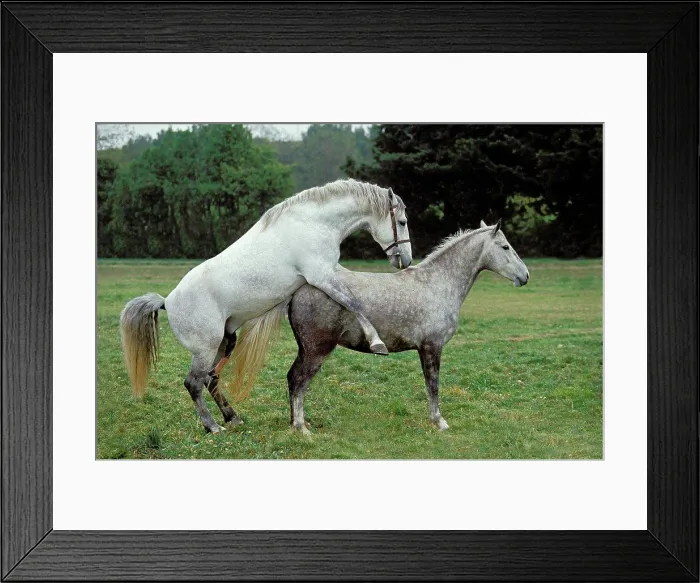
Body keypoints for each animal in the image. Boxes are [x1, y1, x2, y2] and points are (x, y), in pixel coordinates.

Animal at [119, 179, 412, 434]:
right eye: (402, 222)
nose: (406, 261)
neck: (312, 223)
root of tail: (167, 301)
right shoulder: (322, 276)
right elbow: (354, 302)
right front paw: (377, 343)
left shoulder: (329, 274)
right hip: (205, 348)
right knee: (193, 383)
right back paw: (213, 426)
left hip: (225, 341)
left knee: (211, 380)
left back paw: (232, 417)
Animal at [285, 220, 529, 434]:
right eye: (505, 246)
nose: (525, 276)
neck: (437, 283)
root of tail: (300, 290)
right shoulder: (432, 347)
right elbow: (433, 385)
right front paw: (439, 422)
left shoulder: (424, 349)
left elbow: (429, 385)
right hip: (317, 350)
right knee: (299, 381)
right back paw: (301, 428)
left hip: (306, 350)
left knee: (292, 378)